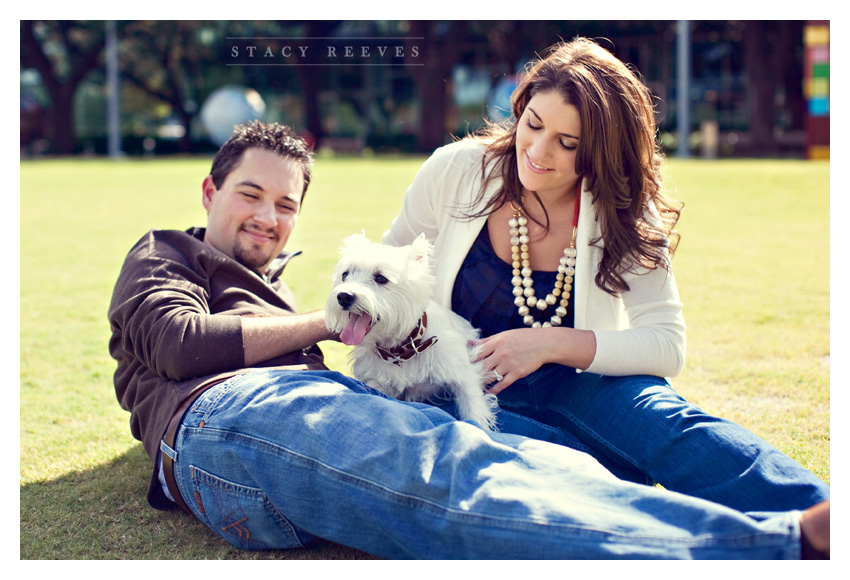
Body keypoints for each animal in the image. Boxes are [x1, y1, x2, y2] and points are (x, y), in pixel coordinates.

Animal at [324, 232, 496, 430]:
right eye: (345, 274)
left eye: (381, 278)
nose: (344, 296)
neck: (400, 351)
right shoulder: (378, 382)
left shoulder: (463, 376)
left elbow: (473, 410)